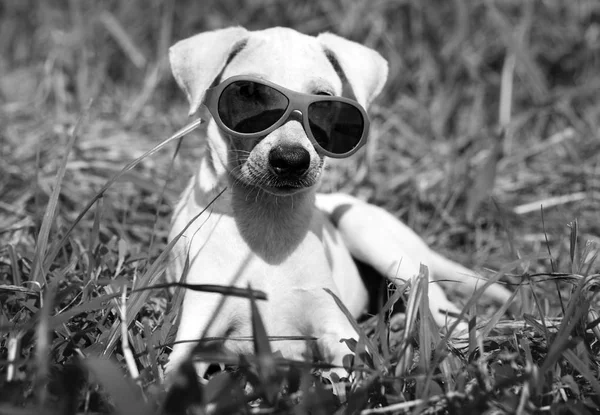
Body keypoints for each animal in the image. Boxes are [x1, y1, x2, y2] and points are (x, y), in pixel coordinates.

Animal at [163, 26, 510, 384]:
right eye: (246, 92)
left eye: (324, 101)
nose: (291, 160)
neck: (268, 222)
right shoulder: (199, 324)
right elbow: (176, 375)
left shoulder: (335, 324)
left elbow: (350, 370)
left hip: (370, 236)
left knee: (438, 304)